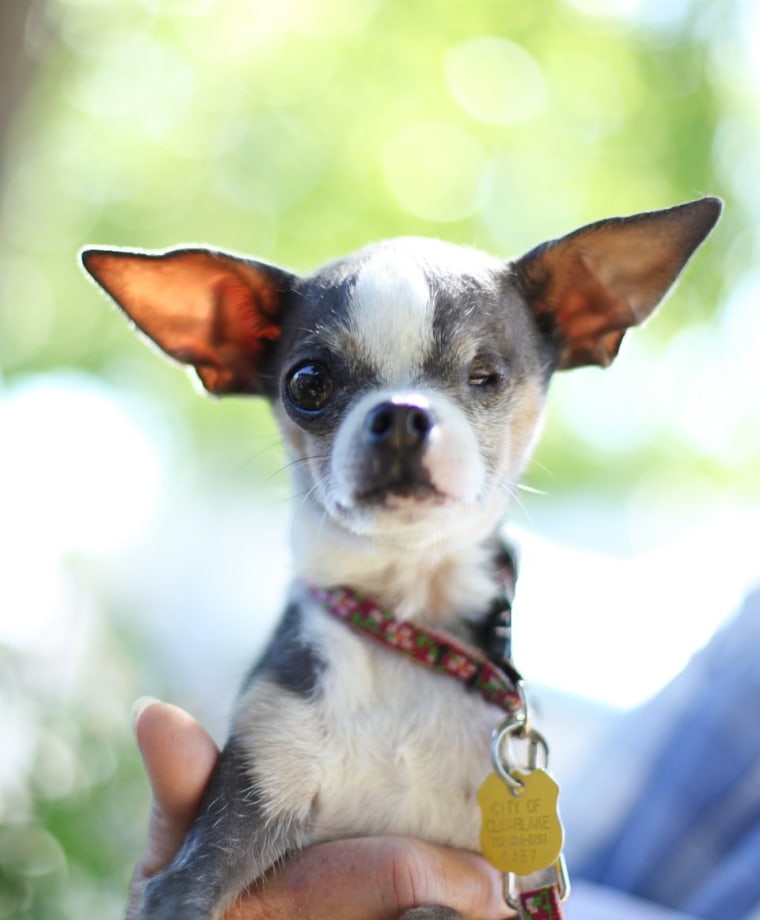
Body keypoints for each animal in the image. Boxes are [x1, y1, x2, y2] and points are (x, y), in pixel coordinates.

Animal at [81, 198, 720, 916]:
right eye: (308, 383)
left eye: (486, 377)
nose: (402, 414)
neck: (409, 615)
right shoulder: (215, 844)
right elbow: (189, 890)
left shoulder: (497, 883)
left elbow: (431, 907)